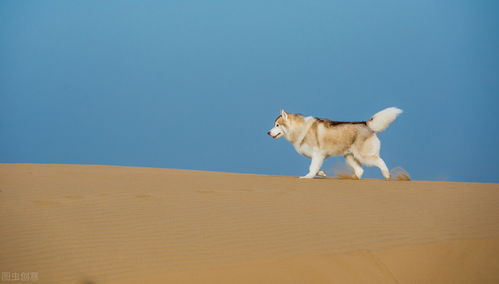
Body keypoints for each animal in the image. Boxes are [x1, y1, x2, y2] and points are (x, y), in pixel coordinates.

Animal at [268, 107, 404, 179]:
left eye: (277, 125)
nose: (268, 132)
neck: (299, 129)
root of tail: (366, 124)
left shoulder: (317, 154)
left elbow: (312, 167)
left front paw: (307, 177)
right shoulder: (318, 157)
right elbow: (316, 167)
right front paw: (321, 173)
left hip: (364, 156)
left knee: (381, 162)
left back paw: (387, 175)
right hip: (349, 157)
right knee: (360, 170)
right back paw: (352, 178)